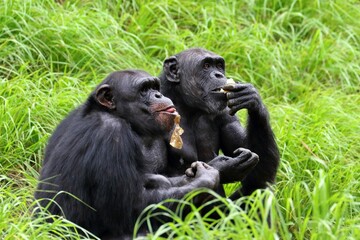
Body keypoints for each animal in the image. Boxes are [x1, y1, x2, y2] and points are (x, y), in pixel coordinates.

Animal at [34, 69, 219, 238]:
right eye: (144, 89)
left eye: (155, 87)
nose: (159, 95)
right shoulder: (112, 134)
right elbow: (129, 208)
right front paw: (205, 179)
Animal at [159, 48, 280, 199]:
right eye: (206, 66)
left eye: (219, 66)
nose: (219, 74)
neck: (188, 108)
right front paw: (225, 166)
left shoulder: (226, 114)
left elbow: (258, 172)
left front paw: (253, 99)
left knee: (260, 189)